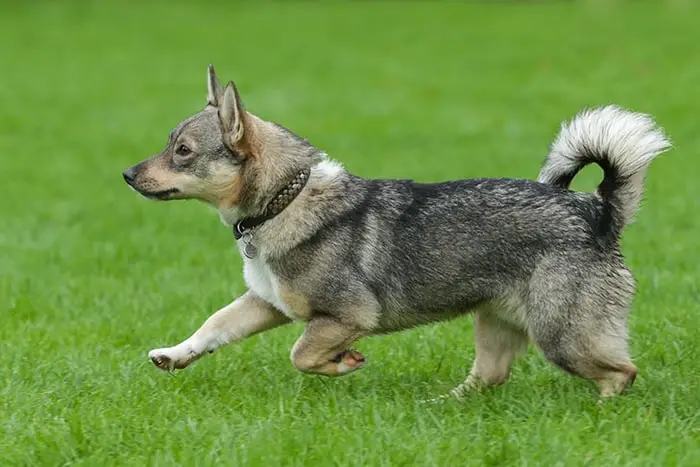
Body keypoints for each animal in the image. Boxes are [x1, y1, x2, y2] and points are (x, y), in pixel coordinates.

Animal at [123, 66, 668, 398]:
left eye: (183, 152)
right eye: (170, 145)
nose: (127, 174)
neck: (286, 201)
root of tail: (598, 211)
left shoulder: (345, 316)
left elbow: (301, 354)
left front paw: (343, 363)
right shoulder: (265, 303)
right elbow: (213, 326)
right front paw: (173, 355)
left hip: (560, 335)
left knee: (623, 371)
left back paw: (602, 413)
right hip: (497, 322)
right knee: (488, 378)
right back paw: (442, 406)